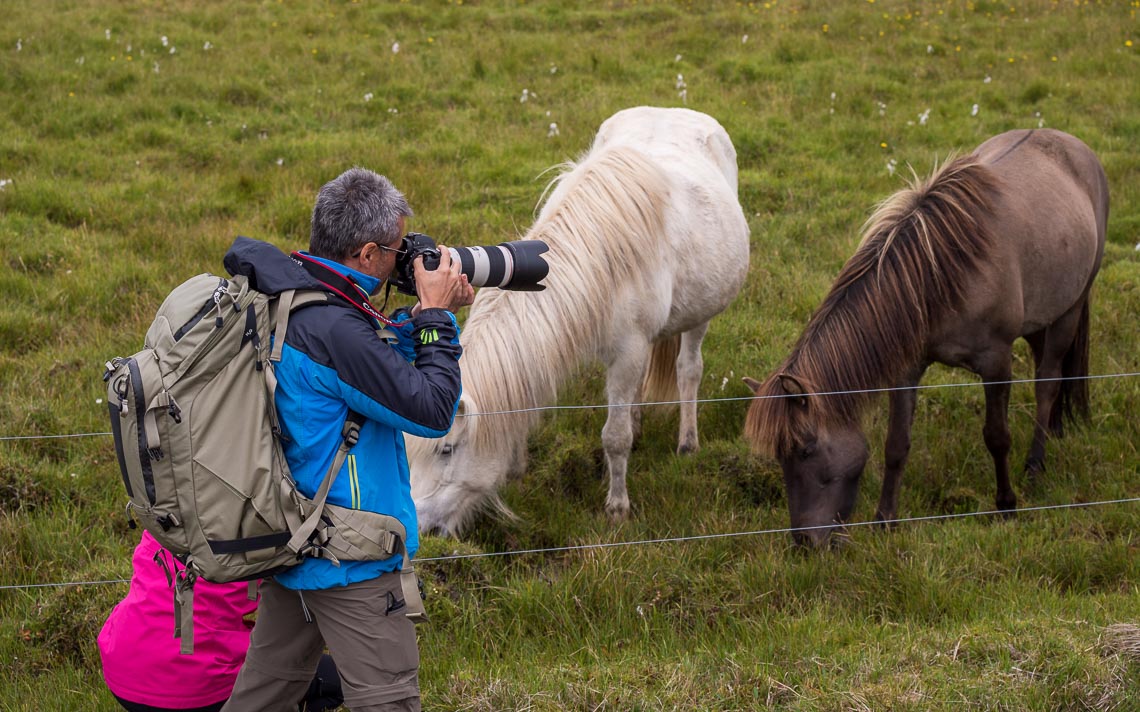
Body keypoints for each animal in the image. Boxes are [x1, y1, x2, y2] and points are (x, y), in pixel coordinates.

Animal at [408, 107, 747, 533]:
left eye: (447, 450)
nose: (419, 530)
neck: (597, 258)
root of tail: (674, 110)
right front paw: (517, 471)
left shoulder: (628, 351)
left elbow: (615, 437)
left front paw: (617, 508)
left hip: (701, 315)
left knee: (688, 369)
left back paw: (688, 443)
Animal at [743, 127, 1108, 546]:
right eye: (779, 456)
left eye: (804, 450)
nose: (804, 542)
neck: (940, 275)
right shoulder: (907, 368)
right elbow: (895, 444)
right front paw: (885, 520)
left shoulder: (996, 364)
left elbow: (997, 436)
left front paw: (1006, 505)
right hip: (1039, 319)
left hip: (1069, 310)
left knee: (1047, 382)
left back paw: (1035, 464)